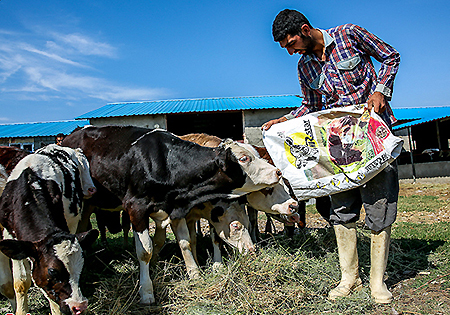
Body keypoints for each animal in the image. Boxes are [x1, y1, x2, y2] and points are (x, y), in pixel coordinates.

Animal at [62, 126, 282, 306]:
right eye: (244, 159)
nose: (278, 171)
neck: (165, 163)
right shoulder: (136, 208)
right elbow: (145, 251)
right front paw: (146, 292)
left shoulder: (176, 210)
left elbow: (184, 242)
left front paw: (195, 274)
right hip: (84, 205)